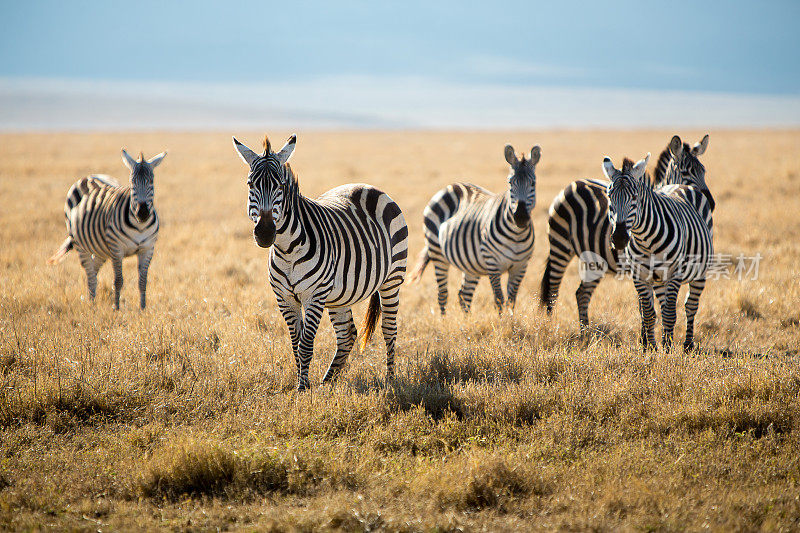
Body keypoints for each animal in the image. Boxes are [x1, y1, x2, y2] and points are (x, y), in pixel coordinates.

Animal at [48, 148, 166, 310]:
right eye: (132, 182)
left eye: (151, 182)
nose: (142, 213)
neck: (139, 226)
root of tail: (91, 176)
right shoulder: (116, 249)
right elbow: (118, 280)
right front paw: (116, 308)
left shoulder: (147, 249)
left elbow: (143, 281)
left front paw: (142, 309)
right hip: (80, 244)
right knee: (90, 273)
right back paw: (91, 303)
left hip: (100, 248)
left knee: (94, 268)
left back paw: (92, 299)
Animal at [230, 134, 406, 390]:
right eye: (250, 184)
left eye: (280, 186)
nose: (264, 233)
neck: (287, 249)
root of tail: (367, 186)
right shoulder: (284, 298)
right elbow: (295, 343)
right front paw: (302, 382)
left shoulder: (314, 295)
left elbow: (305, 344)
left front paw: (303, 387)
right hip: (341, 294)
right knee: (347, 335)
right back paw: (328, 381)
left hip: (392, 280)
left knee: (389, 330)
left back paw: (391, 380)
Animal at [412, 143, 536, 314]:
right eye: (511, 183)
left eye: (533, 184)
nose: (521, 217)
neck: (516, 234)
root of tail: (452, 186)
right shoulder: (492, 263)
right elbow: (499, 299)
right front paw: (503, 321)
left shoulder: (520, 266)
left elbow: (511, 301)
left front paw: (511, 320)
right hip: (437, 252)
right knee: (443, 294)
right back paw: (444, 319)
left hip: (471, 263)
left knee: (464, 295)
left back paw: (467, 320)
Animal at [536, 135, 712, 330]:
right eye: (685, 172)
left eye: (703, 171)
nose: (710, 202)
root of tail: (573, 184)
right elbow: (645, 309)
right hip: (560, 245)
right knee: (553, 291)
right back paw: (549, 327)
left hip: (594, 260)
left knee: (581, 294)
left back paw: (585, 333)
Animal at [604, 154, 716, 352]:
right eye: (609, 197)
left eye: (635, 197)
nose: (619, 238)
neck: (645, 240)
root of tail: (681, 185)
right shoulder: (639, 276)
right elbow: (649, 313)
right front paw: (651, 348)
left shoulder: (674, 273)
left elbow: (671, 313)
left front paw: (668, 350)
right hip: (658, 279)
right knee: (664, 307)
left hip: (699, 272)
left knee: (691, 306)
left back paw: (688, 345)